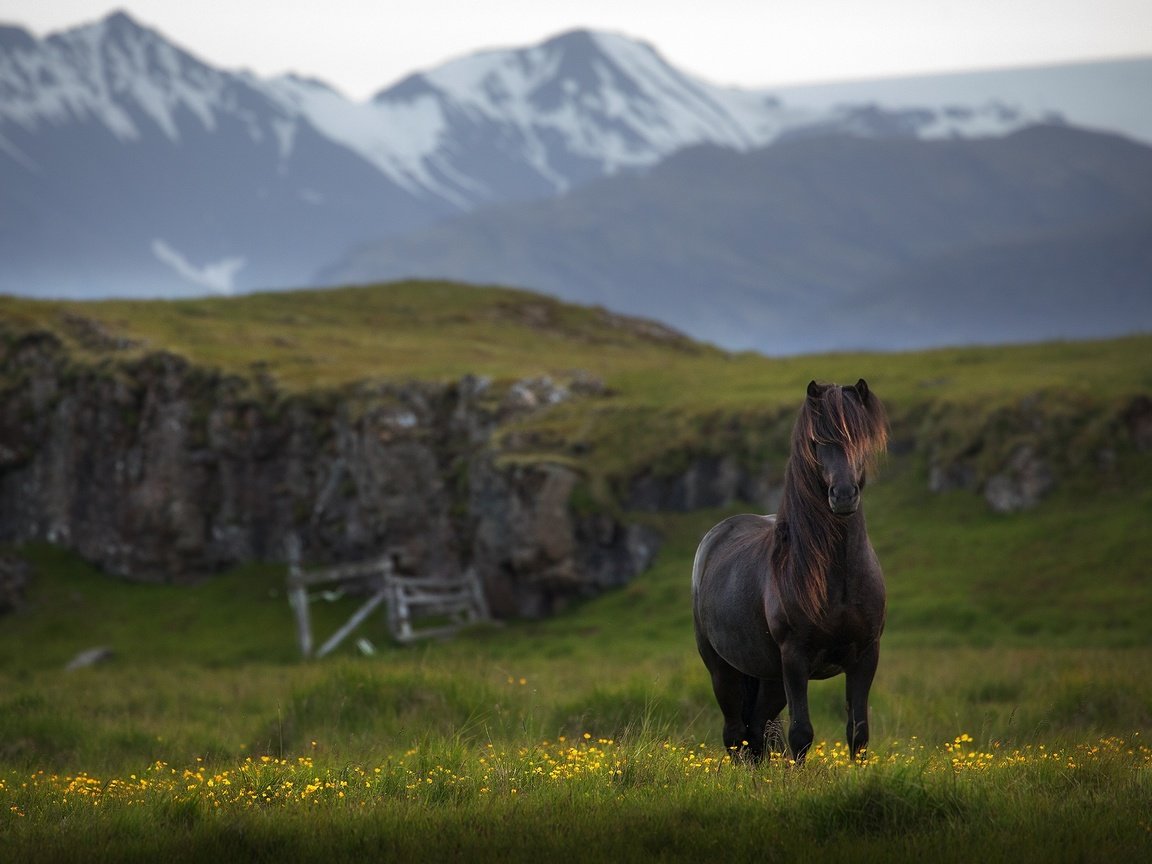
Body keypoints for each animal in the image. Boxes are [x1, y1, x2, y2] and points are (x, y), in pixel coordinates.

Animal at [691, 380, 889, 764]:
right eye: (816, 440)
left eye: (861, 436)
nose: (843, 495)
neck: (839, 578)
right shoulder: (795, 658)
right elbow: (801, 734)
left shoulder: (865, 655)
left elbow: (858, 733)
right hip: (724, 670)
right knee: (735, 734)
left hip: (769, 678)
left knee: (756, 731)